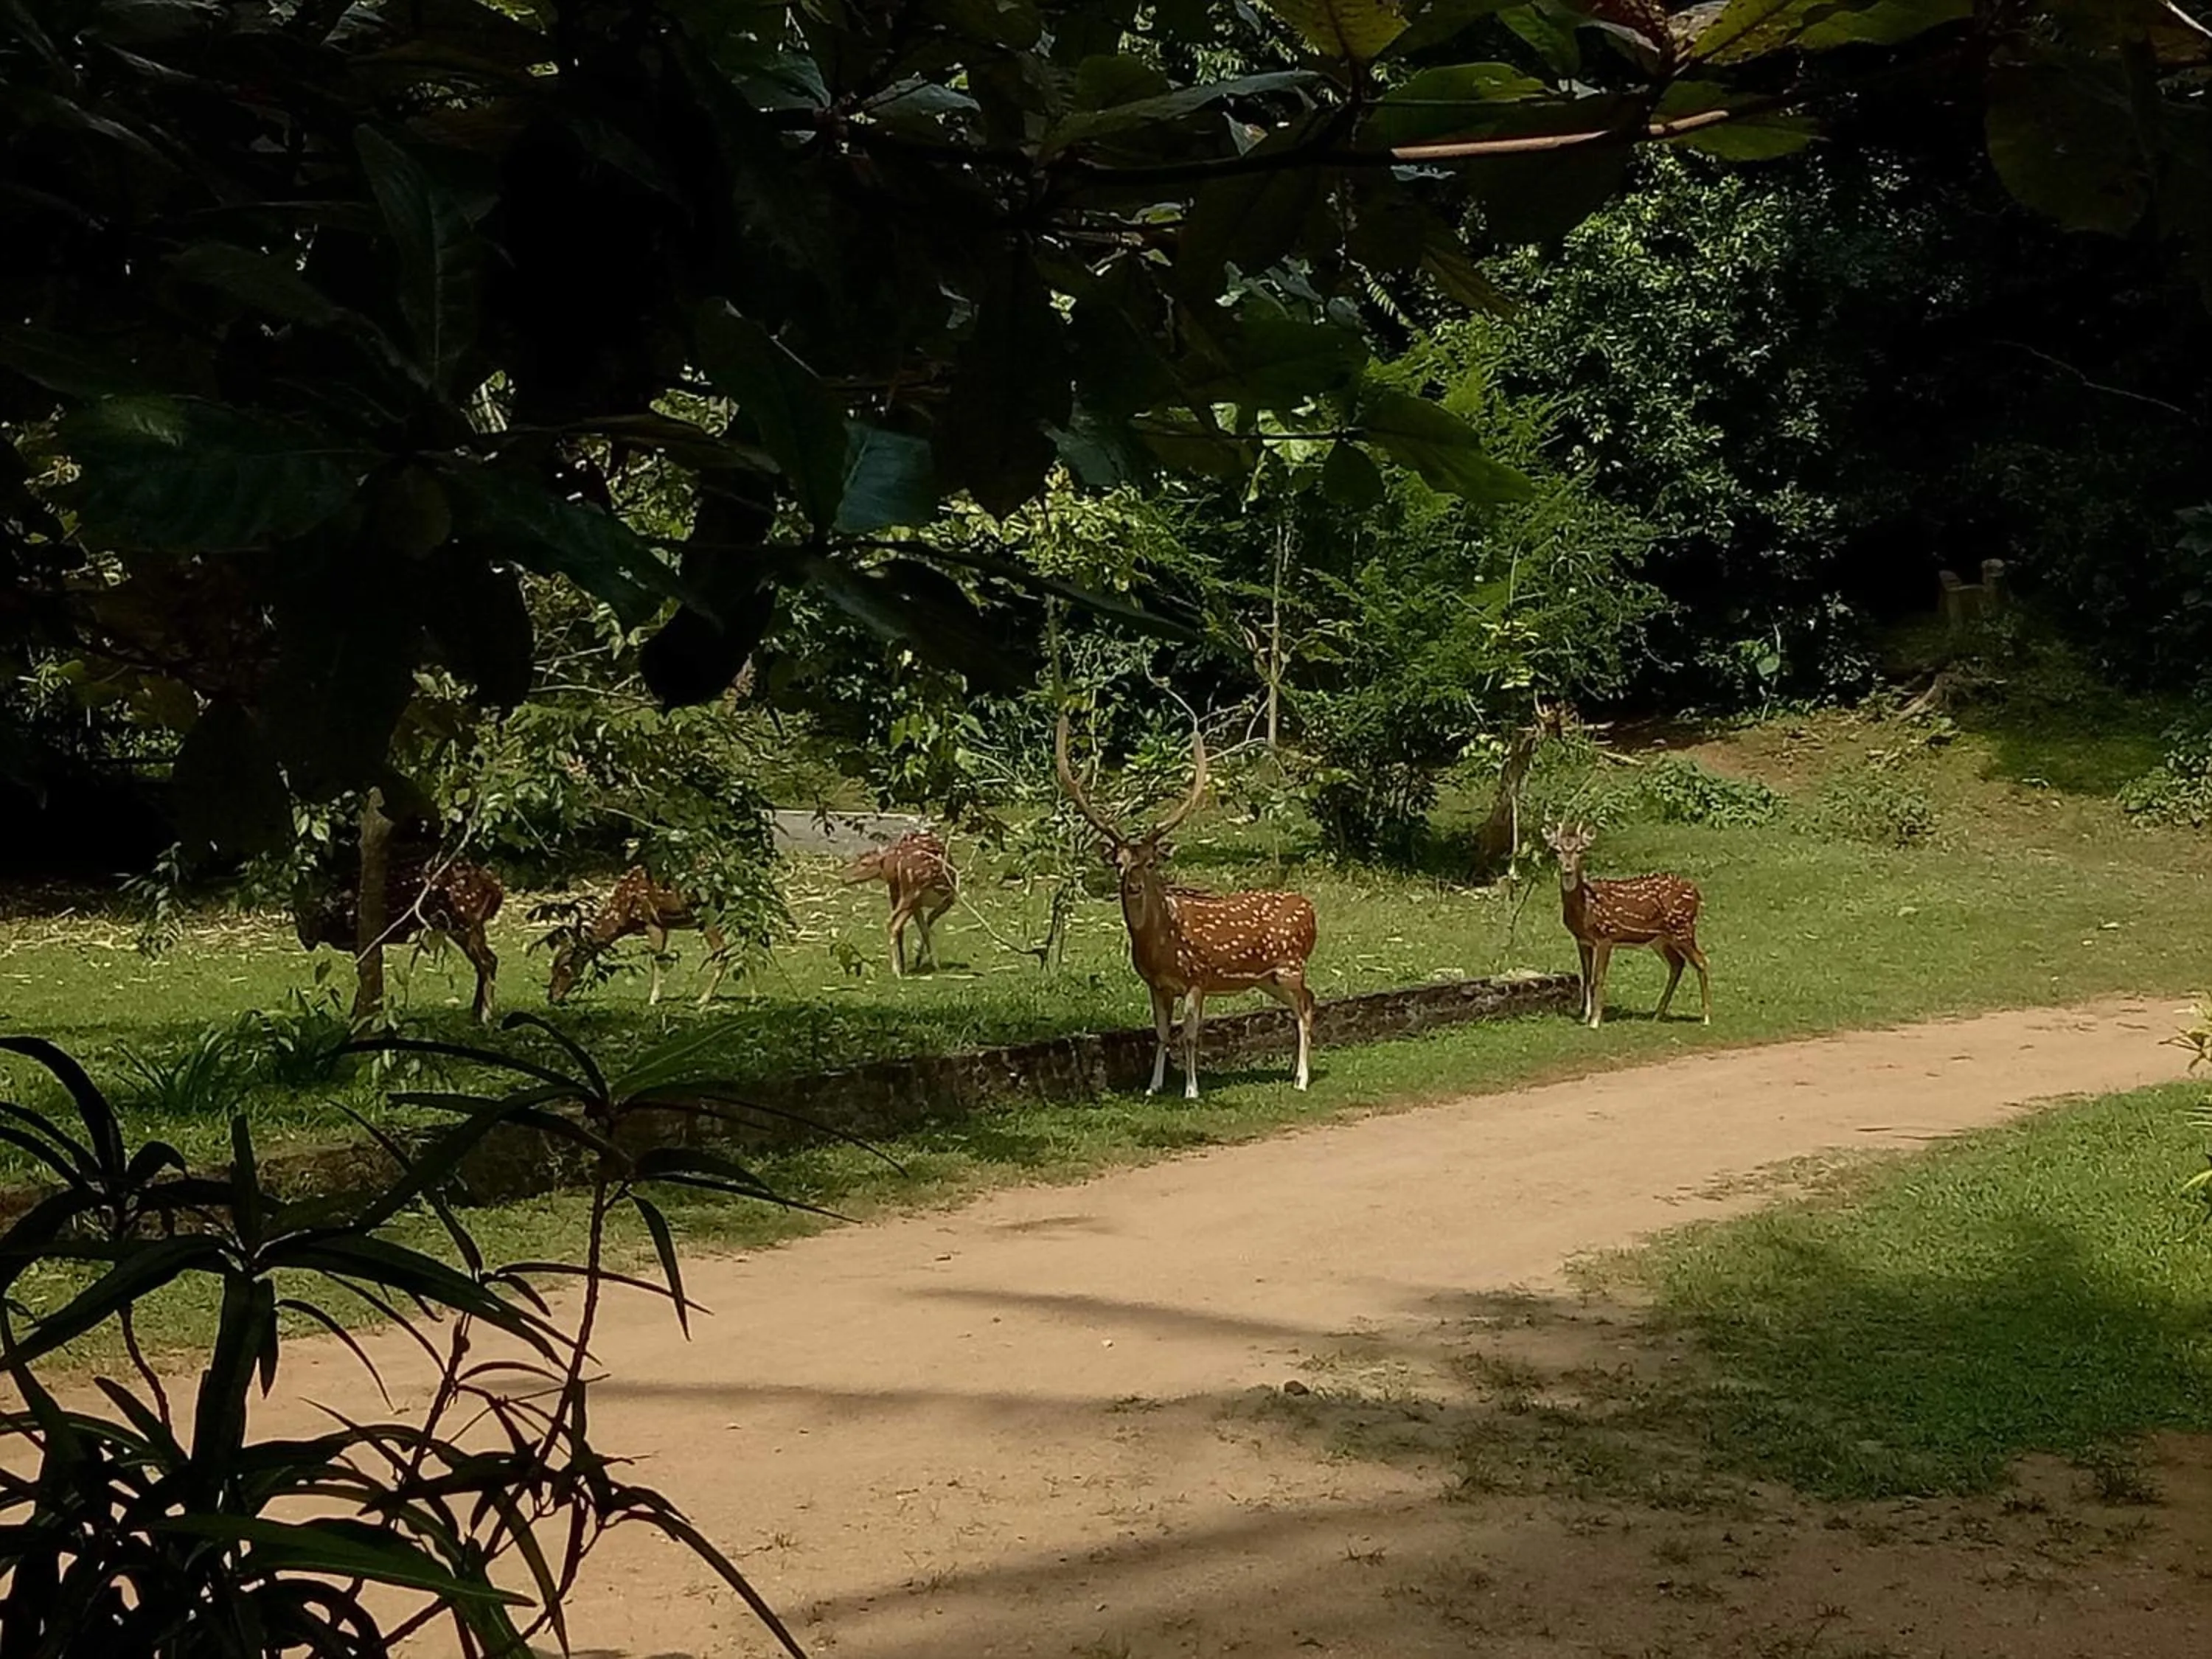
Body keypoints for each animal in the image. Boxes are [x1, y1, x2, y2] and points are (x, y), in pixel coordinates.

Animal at [294, 853, 505, 1024]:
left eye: (320, 916)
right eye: (297, 918)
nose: (307, 940)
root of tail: (497, 889)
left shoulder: (364, 940)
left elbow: (365, 975)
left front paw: (356, 1016)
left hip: (464, 920)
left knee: (488, 961)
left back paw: (485, 1016)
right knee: (486, 961)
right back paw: (475, 1013)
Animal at [546, 867, 728, 1007]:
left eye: (564, 968)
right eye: (552, 966)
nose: (551, 997)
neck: (624, 917)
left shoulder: (650, 921)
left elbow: (655, 960)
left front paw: (653, 998)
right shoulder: (664, 925)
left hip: (708, 916)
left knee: (722, 953)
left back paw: (703, 999)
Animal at [838, 829, 957, 976]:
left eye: (864, 863)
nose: (844, 878)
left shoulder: (918, 904)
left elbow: (924, 928)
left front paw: (921, 960)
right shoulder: (948, 898)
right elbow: (928, 923)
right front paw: (933, 963)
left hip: (898, 892)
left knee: (895, 924)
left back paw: (901, 966)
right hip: (912, 892)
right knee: (892, 923)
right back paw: (897, 970)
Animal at [1055, 712, 1318, 1099]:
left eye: (1150, 862)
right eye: (1119, 862)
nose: (1133, 886)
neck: (1161, 946)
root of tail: (1310, 910)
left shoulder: (1197, 977)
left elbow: (1191, 1035)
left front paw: (1191, 1090)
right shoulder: (1155, 984)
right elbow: (1163, 1034)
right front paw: (1153, 1087)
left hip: (1291, 963)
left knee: (1306, 1006)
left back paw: (1301, 1079)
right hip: (1268, 977)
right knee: (1304, 1003)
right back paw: (1293, 1074)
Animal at [1542, 821, 1710, 1029]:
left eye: (1580, 850)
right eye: (1557, 850)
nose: (1567, 869)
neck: (1586, 907)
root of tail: (1696, 892)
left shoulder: (1606, 935)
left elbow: (1598, 978)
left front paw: (1595, 1021)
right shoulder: (1582, 939)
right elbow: (1587, 977)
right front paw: (1584, 1016)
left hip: (1683, 928)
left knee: (1702, 961)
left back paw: (1706, 1017)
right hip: (1661, 939)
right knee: (1677, 964)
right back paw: (1658, 1014)